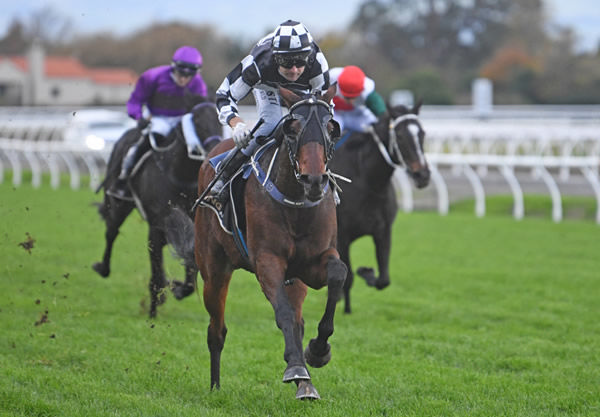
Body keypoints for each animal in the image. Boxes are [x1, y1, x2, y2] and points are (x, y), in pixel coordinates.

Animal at [92, 99, 224, 316]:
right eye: (197, 121)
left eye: (219, 120)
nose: (216, 147)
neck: (179, 173)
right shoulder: (157, 226)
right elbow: (157, 273)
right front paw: (153, 311)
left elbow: (190, 264)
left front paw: (178, 288)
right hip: (118, 204)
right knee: (111, 232)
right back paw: (102, 267)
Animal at [168, 86, 346, 398]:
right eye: (292, 128)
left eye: (331, 128)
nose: (313, 180)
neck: (296, 202)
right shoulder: (266, 261)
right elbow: (282, 313)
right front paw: (296, 367)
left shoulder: (312, 263)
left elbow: (337, 274)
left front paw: (318, 351)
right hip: (214, 270)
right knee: (216, 330)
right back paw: (215, 387)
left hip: (294, 280)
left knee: (298, 320)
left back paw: (306, 383)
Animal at [330, 103, 428, 312]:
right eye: (399, 136)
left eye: (422, 133)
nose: (422, 175)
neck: (369, 182)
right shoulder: (343, 235)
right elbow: (348, 278)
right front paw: (346, 309)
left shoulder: (383, 230)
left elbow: (384, 280)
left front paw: (366, 272)